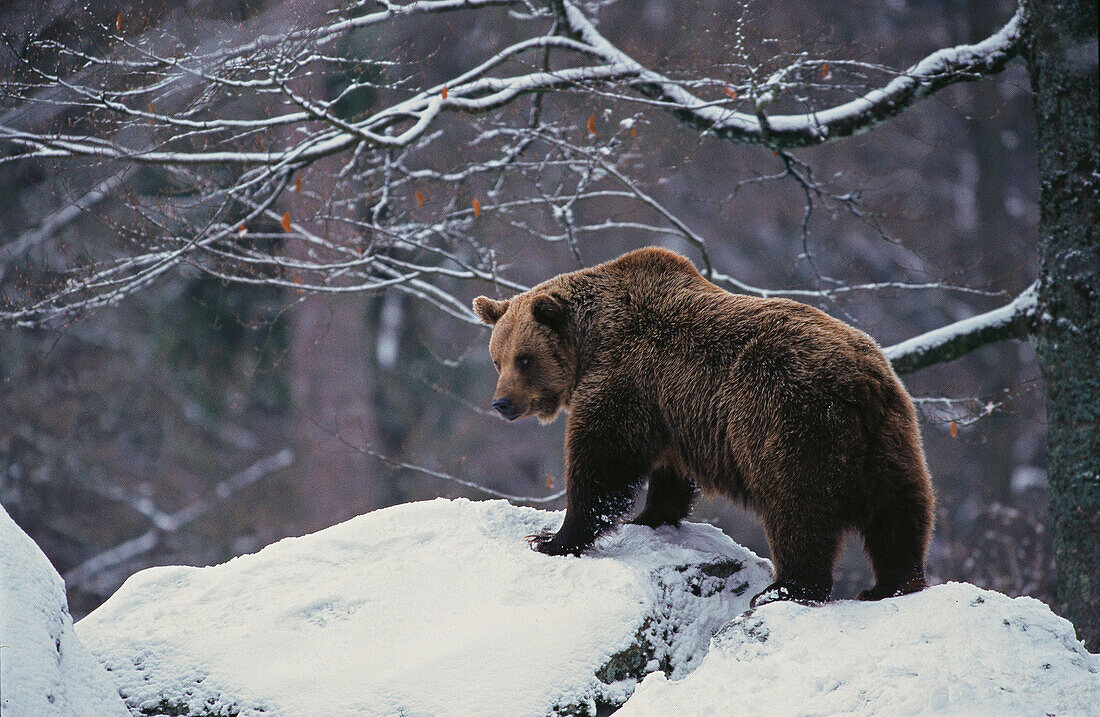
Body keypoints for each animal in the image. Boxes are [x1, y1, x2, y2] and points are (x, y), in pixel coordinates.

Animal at [475, 246, 937, 607]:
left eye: (524, 358)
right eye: (497, 359)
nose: (502, 403)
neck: (590, 343)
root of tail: (859, 383)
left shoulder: (625, 381)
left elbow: (602, 464)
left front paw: (551, 539)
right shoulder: (670, 409)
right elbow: (667, 473)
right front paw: (649, 516)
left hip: (789, 422)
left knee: (799, 510)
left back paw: (786, 588)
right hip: (890, 437)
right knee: (900, 511)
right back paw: (890, 584)